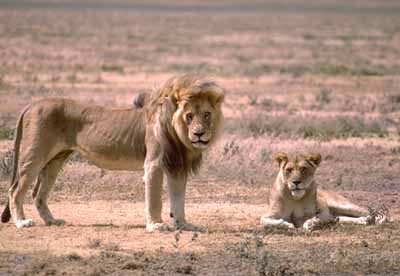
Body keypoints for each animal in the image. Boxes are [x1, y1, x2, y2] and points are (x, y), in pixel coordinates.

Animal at [0, 73, 225, 231]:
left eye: (206, 114)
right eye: (189, 116)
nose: (199, 134)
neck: (179, 133)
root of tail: (32, 104)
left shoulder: (177, 166)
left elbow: (179, 199)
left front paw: (184, 225)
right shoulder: (154, 163)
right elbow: (154, 199)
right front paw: (155, 225)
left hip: (56, 160)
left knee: (39, 193)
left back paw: (52, 221)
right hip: (35, 156)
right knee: (16, 190)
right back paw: (21, 222)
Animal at [260, 152, 388, 230]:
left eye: (303, 169)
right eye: (289, 169)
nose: (296, 182)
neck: (294, 198)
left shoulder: (303, 217)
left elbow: (308, 221)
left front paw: (312, 223)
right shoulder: (270, 214)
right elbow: (265, 221)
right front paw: (288, 225)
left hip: (343, 205)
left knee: (371, 212)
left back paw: (380, 220)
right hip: (339, 213)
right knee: (343, 218)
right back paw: (362, 221)